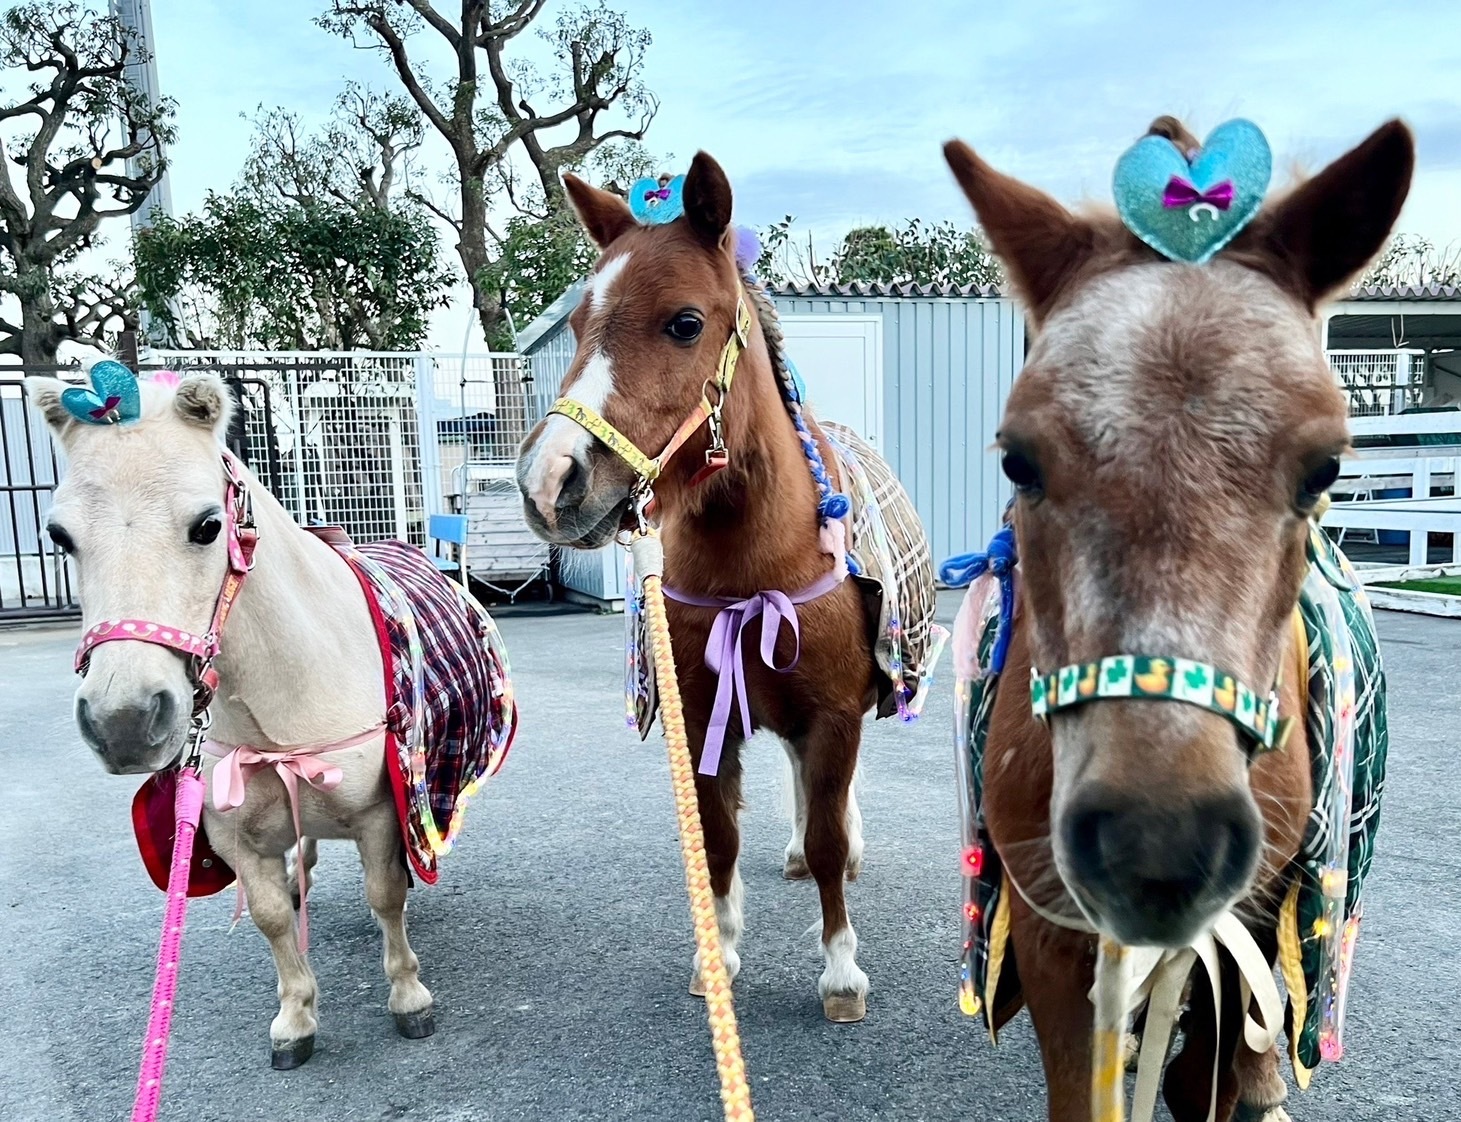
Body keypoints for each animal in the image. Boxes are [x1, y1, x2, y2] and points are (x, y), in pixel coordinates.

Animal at [29, 371, 432, 1069]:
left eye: (207, 525)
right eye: (60, 537)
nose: (123, 720)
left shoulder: (383, 813)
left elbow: (386, 895)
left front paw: (408, 996)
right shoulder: (233, 836)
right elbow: (272, 918)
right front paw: (296, 1017)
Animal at [520, 153, 940, 1022]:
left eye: (684, 323)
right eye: (576, 328)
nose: (550, 481)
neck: (757, 568)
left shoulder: (834, 714)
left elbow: (828, 840)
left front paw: (839, 971)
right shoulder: (703, 716)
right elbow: (717, 839)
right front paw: (720, 953)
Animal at [946, 116, 1414, 1122]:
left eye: (1324, 469)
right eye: (1017, 461)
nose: (1153, 845)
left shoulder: (1232, 945)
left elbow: (1211, 1074)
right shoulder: (1053, 941)